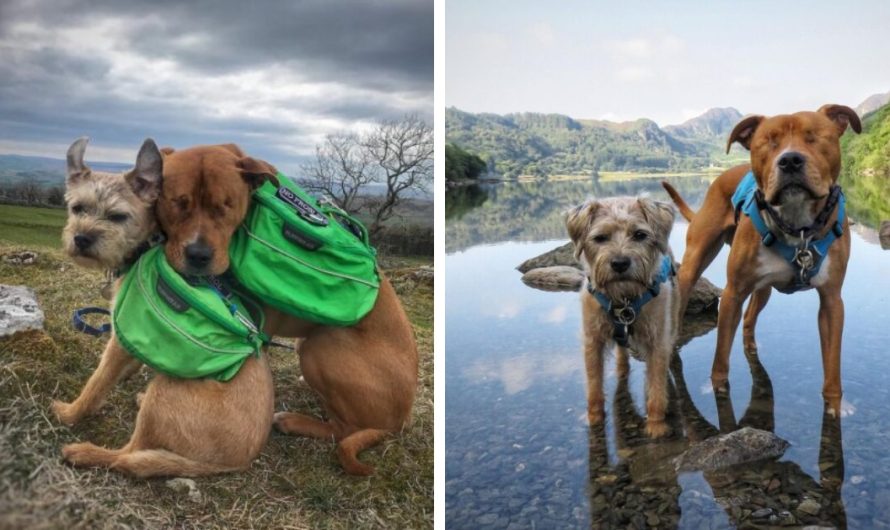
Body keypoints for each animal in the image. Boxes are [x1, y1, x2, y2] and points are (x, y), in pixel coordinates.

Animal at [156, 142, 420, 472]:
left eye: (226, 206)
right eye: (178, 203)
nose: (198, 255)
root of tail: (400, 421)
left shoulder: (257, 327)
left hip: (322, 345)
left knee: (344, 429)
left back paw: (293, 421)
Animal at [664, 104, 856, 416]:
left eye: (814, 137)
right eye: (769, 142)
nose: (790, 160)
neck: (798, 229)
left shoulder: (831, 301)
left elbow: (833, 366)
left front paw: (836, 405)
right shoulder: (732, 293)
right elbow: (720, 358)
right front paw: (717, 389)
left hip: (763, 289)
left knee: (749, 318)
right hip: (694, 264)